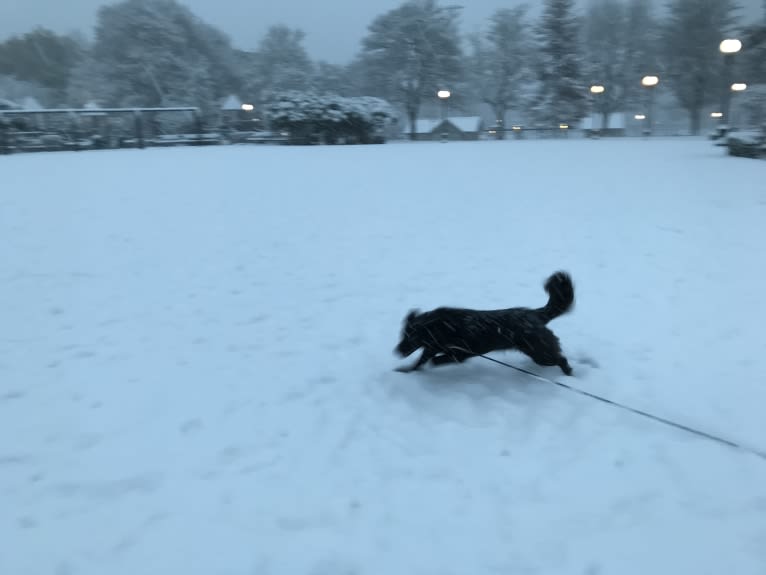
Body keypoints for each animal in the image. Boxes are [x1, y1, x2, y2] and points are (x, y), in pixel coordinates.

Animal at [396, 272, 576, 376]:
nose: (396, 351)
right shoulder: (431, 348)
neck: (439, 328)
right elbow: (420, 362)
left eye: (411, 337)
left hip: (541, 354)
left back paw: (569, 373)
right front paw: (405, 371)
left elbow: (434, 360)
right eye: (402, 335)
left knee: (561, 359)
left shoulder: (460, 354)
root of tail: (535, 314)